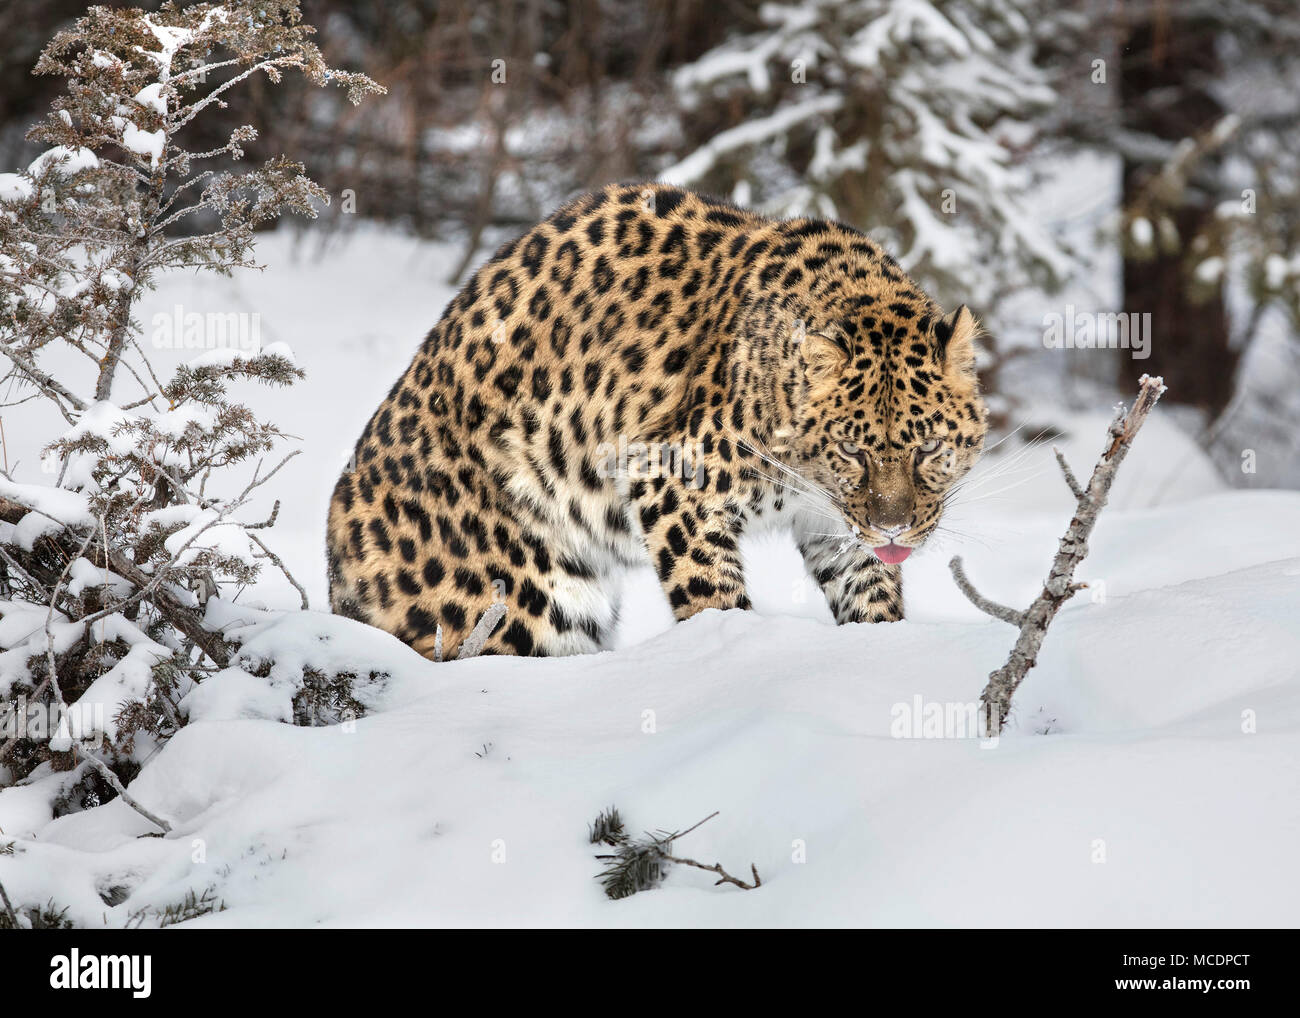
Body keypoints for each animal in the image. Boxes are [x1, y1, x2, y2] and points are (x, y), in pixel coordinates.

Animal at [326, 182, 988, 660]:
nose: (893, 529)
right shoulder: (671, 477)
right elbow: (712, 594)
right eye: (852, 452)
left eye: (930, 448)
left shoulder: (834, 525)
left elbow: (870, 592)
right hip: (519, 607)